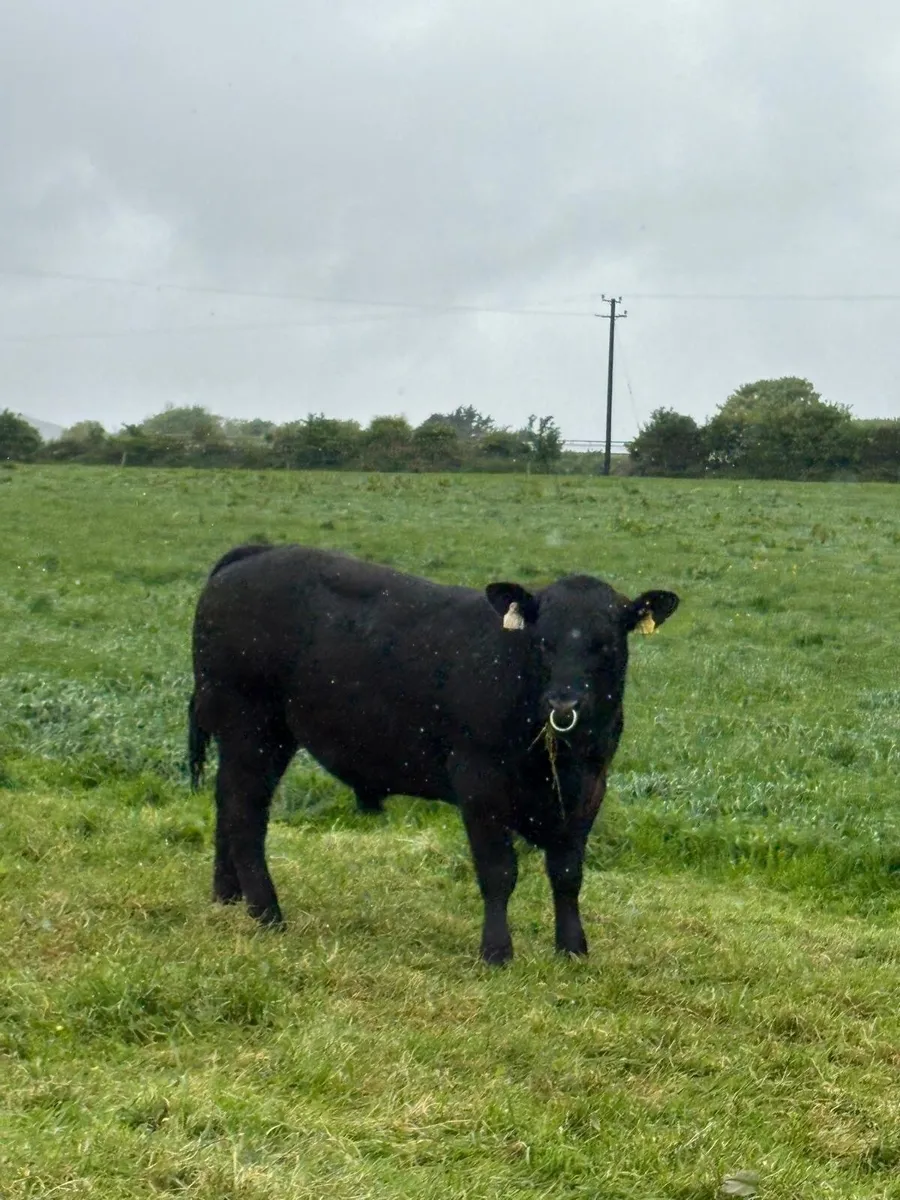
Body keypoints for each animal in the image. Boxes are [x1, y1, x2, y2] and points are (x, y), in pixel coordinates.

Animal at [188, 544, 679, 964]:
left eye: (606, 643)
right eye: (544, 641)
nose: (564, 703)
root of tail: (257, 553)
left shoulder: (589, 789)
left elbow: (568, 873)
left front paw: (572, 949)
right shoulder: (479, 783)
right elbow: (499, 872)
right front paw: (496, 952)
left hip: (258, 737)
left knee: (227, 804)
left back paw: (227, 896)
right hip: (250, 727)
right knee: (244, 814)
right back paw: (267, 912)